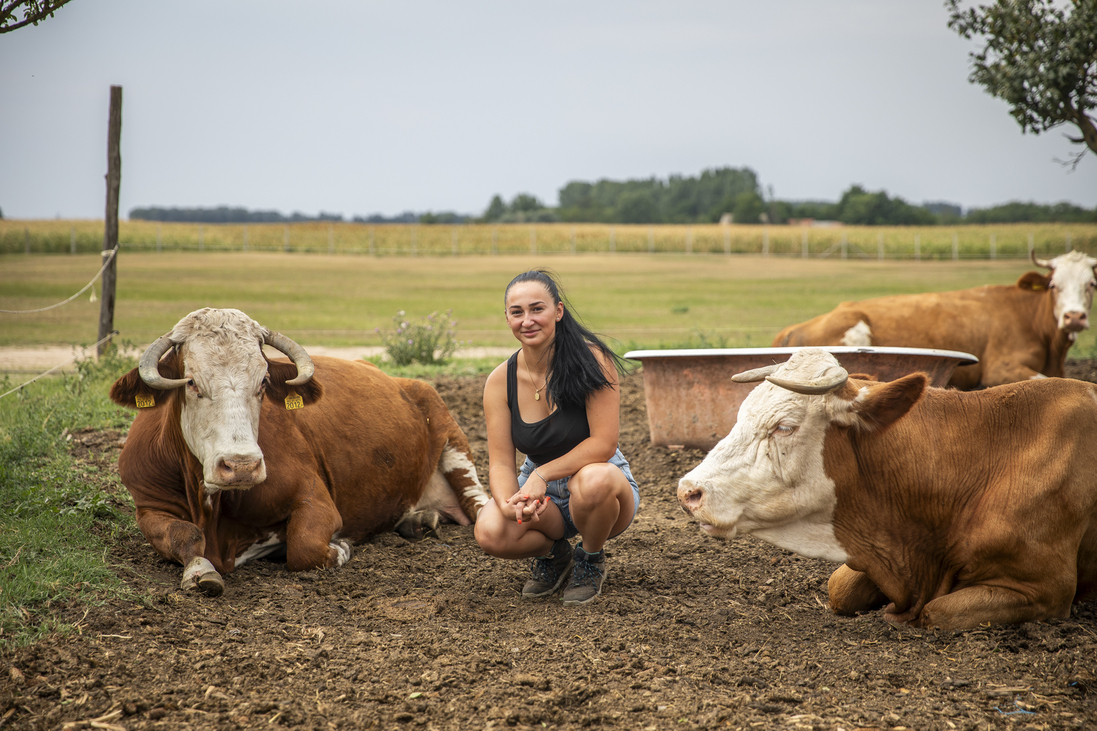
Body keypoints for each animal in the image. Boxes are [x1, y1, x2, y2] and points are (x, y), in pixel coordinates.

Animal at [111, 305, 489, 592]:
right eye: (191, 382)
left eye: (263, 381)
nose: (242, 465)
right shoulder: (148, 507)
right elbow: (184, 534)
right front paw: (200, 570)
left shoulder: (315, 498)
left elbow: (304, 546)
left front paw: (343, 545)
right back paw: (419, 519)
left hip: (453, 438)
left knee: (477, 504)